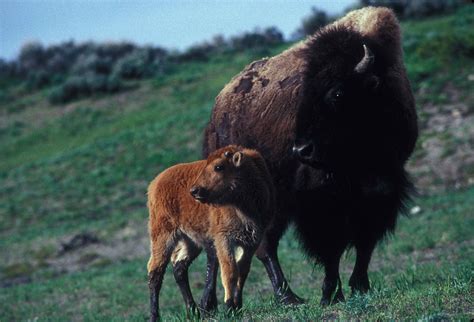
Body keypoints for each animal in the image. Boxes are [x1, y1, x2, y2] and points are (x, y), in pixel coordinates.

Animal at [147, 145, 274, 320]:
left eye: (219, 167)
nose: (194, 191)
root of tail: (155, 183)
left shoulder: (251, 241)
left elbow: (242, 271)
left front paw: (237, 308)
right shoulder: (224, 239)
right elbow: (230, 271)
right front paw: (229, 307)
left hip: (190, 241)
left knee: (179, 268)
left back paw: (194, 312)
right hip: (162, 237)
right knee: (155, 273)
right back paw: (155, 317)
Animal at [200, 5, 418, 306]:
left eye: (337, 92)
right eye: (302, 95)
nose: (301, 150)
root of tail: (215, 119)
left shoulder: (382, 188)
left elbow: (365, 240)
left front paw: (360, 286)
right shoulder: (322, 198)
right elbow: (331, 247)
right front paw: (330, 294)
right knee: (255, 246)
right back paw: (283, 297)